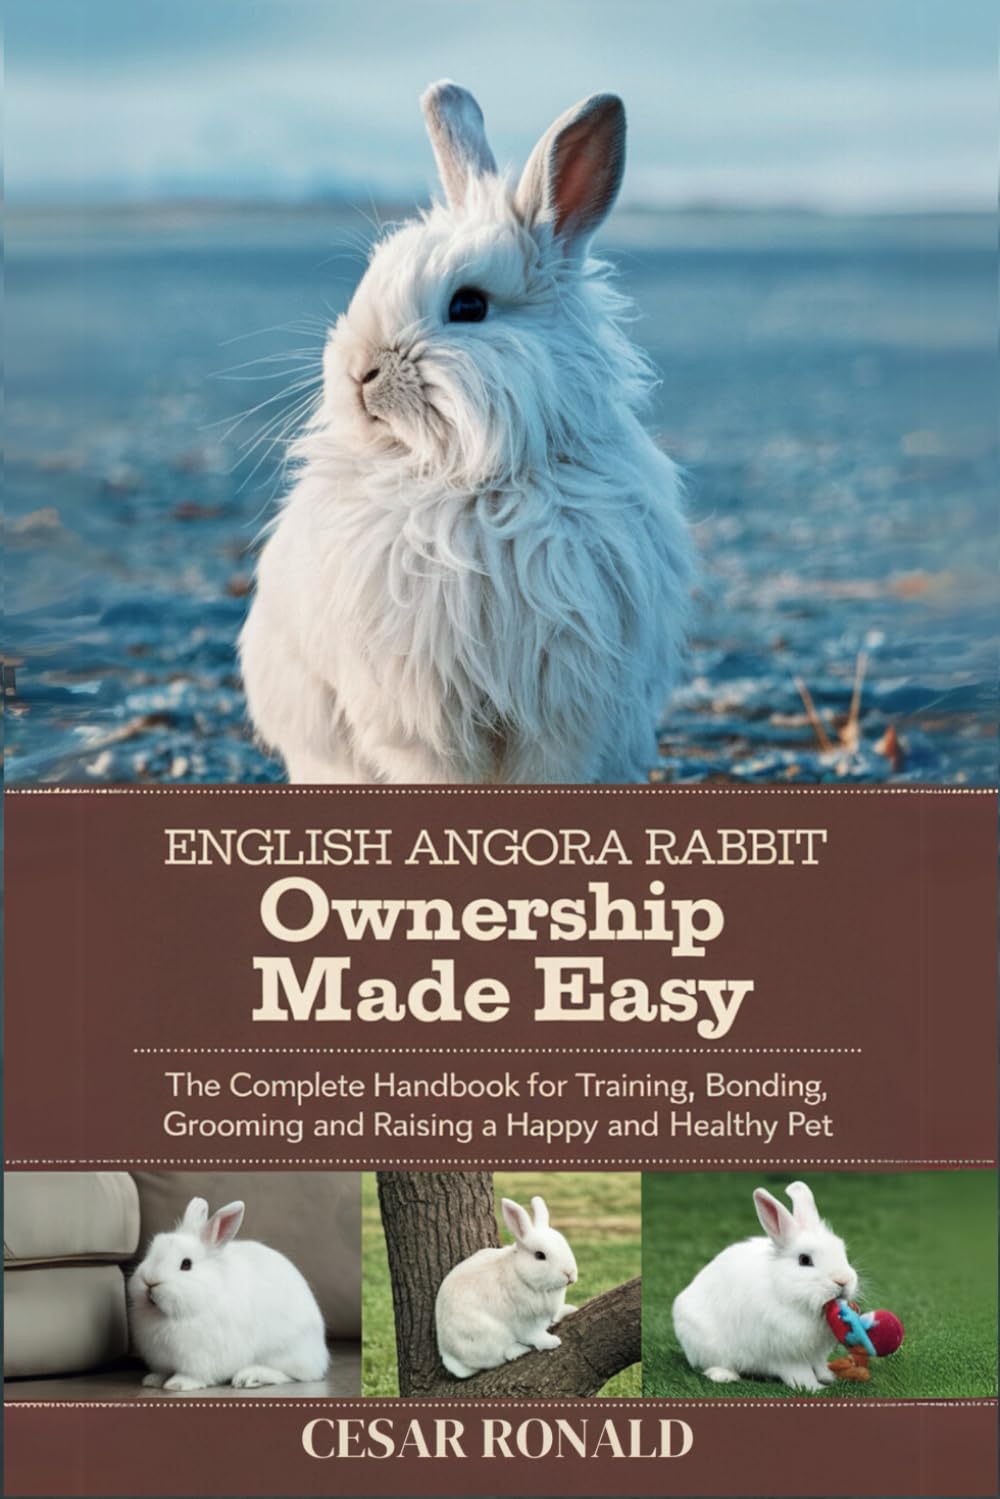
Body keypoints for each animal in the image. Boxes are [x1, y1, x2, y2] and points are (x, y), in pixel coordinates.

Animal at [127, 1197, 330, 1392]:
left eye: (186, 1264)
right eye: (151, 1252)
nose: (149, 1281)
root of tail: (319, 1354)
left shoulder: (201, 1357)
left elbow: (193, 1375)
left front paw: (178, 1384)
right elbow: (162, 1371)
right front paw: (152, 1380)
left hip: (283, 1352)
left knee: (290, 1376)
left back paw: (249, 1377)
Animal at [435, 1195, 578, 1378]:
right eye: (540, 1255)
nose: (569, 1274)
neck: (522, 1275)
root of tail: (447, 1354)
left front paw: (570, 1309)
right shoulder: (527, 1321)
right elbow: (534, 1335)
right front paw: (551, 1342)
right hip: (487, 1335)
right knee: (498, 1356)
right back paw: (519, 1350)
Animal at [672, 1180, 859, 1391]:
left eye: (842, 1251)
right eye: (804, 1260)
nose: (843, 1280)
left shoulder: (815, 1352)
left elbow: (819, 1365)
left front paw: (829, 1377)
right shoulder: (784, 1353)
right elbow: (800, 1373)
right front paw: (814, 1388)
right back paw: (725, 1375)